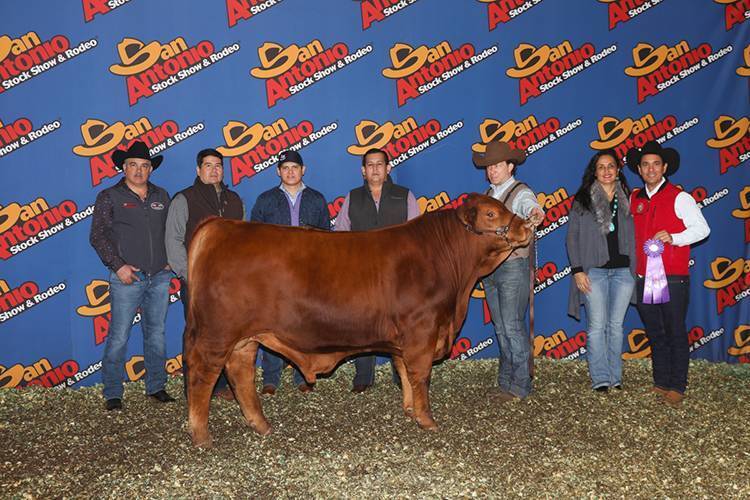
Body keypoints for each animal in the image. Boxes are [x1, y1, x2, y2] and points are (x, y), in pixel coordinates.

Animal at [184, 193, 532, 447]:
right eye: (491, 214)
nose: (526, 225)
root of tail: (220, 225)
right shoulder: (422, 329)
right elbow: (420, 375)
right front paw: (427, 419)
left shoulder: (404, 338)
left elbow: (403, 371)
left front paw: (409, 410)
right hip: (217, 334)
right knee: (203, 375)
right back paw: (201, 435)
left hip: (243, 338)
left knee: (240, 374)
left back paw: (261, 425)